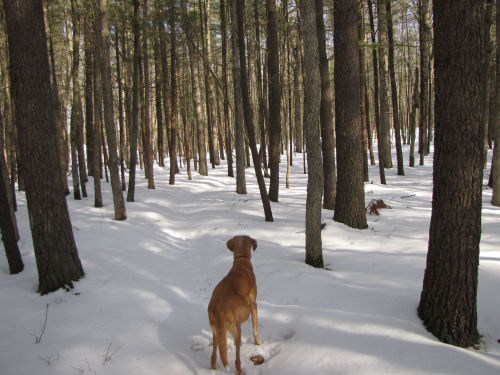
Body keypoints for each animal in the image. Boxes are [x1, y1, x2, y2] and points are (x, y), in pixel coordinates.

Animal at [207, 236, 262, 374]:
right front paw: (258, 342)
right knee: (237, 359)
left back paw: (214, 367)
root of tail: (217, 307)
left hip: (216, 330)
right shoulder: (253, 303)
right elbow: (255, 328)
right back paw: (240, 370)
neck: (241, 261)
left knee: (214, 354)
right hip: (236, 328)